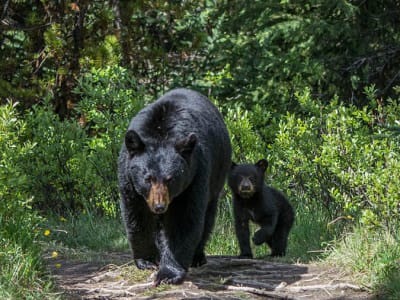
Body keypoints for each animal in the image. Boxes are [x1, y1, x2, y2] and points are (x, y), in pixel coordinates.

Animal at [117, 88, 231, 284]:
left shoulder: (195, 173)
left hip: (217, 175)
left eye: (170, 178)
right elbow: (137, 216)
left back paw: (197, 257)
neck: (161, 132)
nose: (159, 206)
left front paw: (168, 273)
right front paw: (147, 260)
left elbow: (183, 219)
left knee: (207, 216)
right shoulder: (129, 178)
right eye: (148, 178)